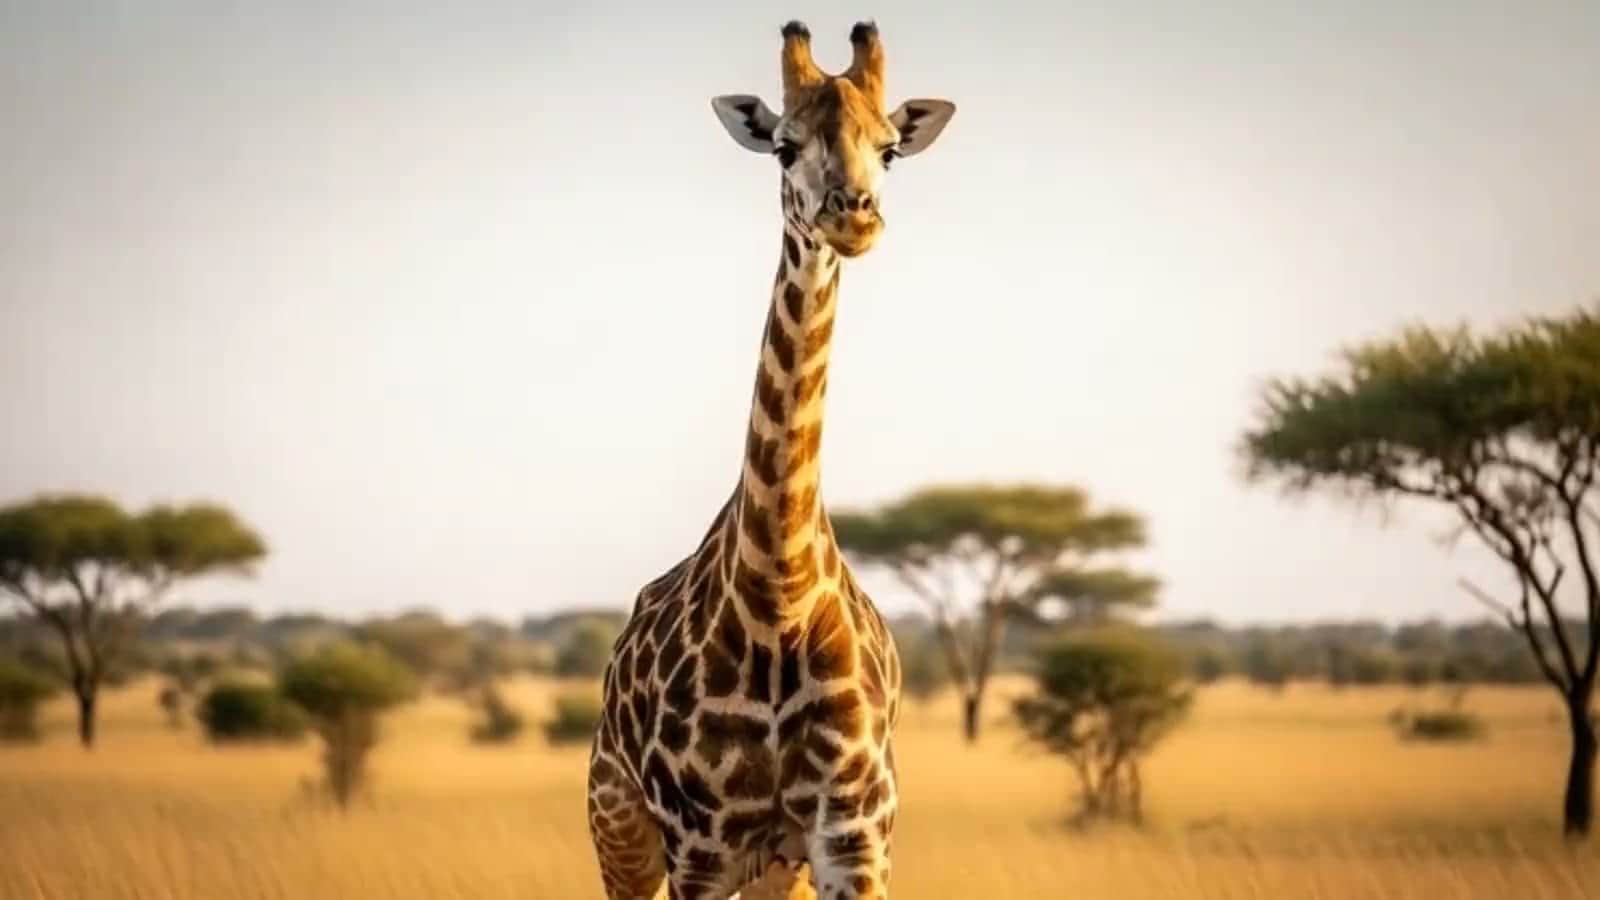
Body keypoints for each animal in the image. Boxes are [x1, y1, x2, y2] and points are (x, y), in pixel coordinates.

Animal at [586, 20, 956, 900]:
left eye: (890, 148)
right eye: (784, 146)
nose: (853, 216)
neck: (780, 594)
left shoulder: (853, 836)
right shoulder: (702, 846)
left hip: (776, 864)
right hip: (622, 831)